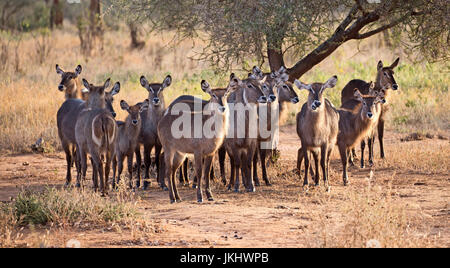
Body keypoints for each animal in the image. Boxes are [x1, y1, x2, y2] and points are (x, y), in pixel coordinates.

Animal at [158, 74, 243, 202]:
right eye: (213, 95)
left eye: (226, 93)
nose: (222, 107)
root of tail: (163, 118)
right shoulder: (197, 151)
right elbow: (199, 172)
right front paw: (199, 196)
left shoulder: (210, 153)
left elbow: (206, 173)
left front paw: (210, 196)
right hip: (169, 149)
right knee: (168, 171)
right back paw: (172, 198)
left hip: (180, 154)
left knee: (173, 171)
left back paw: (178, 197)